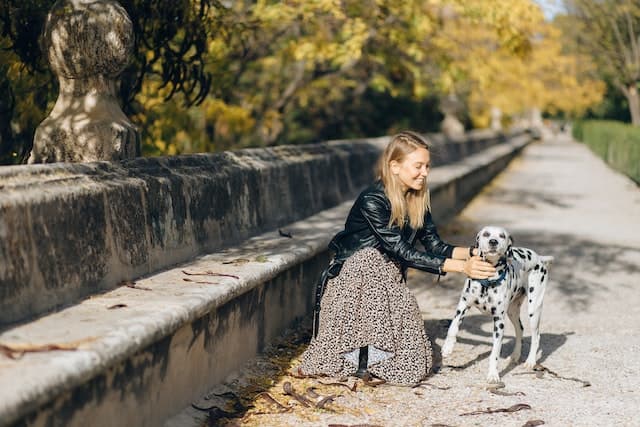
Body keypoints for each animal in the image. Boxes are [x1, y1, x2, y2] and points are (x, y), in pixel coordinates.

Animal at [442, 227, 552, 384]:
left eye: (502, 236)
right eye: (486, 234)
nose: (493, 241)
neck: (488, 280)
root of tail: (538, 258)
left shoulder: (499, 322)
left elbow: (495, 353)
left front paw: (493, 375)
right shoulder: (462, 305)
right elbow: (453, 326)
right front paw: (447, 347)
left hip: (534, 309)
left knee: (536, 336)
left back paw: (530, 361)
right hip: (512, 311)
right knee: (520, 330)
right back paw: (515, 355)